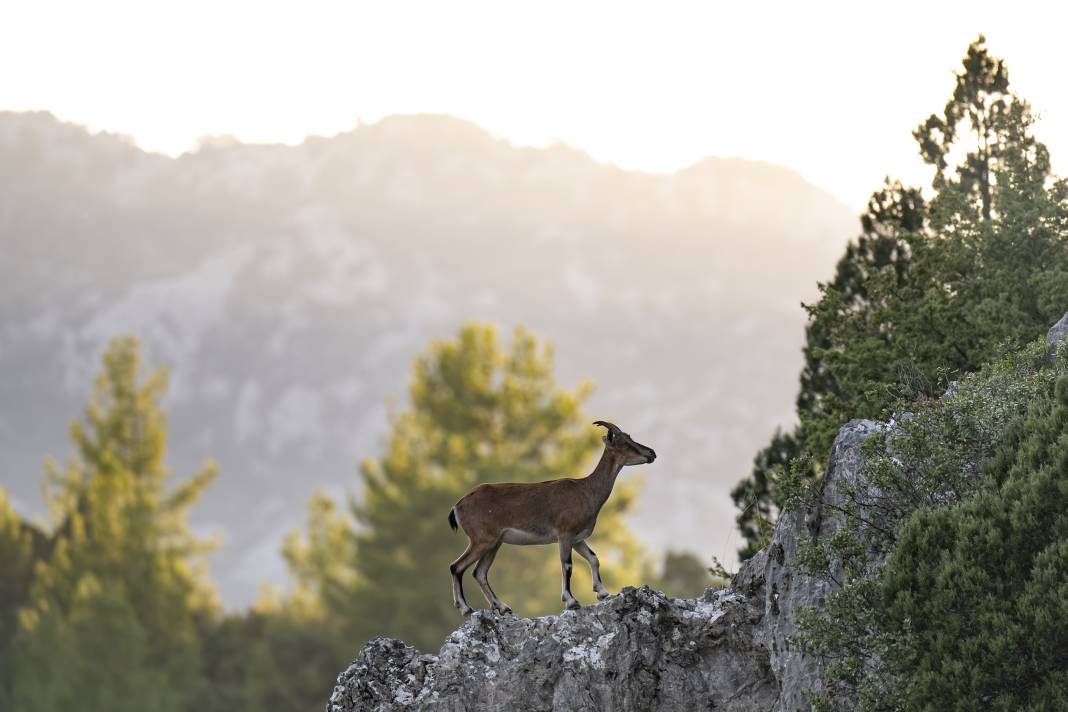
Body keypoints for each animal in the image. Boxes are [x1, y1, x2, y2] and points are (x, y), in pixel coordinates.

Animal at [446, 420, 653, 614]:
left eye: (629, 437)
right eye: (625, 443)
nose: (652, 453)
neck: (587, 491)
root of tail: (458, 505)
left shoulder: (577, 539)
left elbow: (594, 558)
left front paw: (602, 592)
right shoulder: (565, 534)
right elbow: (567, 565)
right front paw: (571, 601)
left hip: (494, 543)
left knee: (479, 572)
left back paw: (503, 607)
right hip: (482, 540)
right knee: (457, 566)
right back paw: (466, 608)